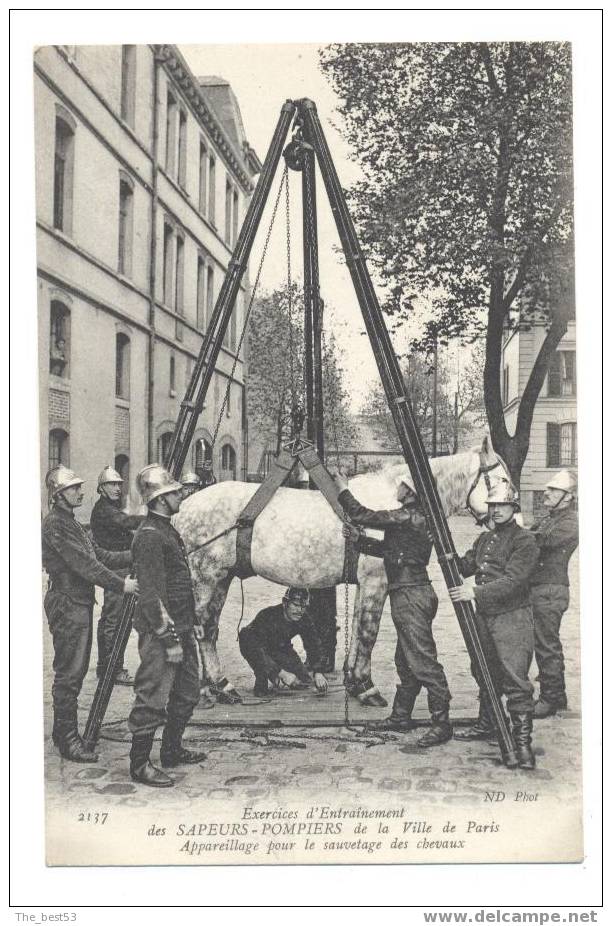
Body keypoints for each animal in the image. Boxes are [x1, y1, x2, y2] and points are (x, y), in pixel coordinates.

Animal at [172, 436, 506, 704]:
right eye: (501, 478)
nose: (505, 510)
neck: (393, 502)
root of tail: (182, 510)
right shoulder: (375, 582)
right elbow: (368, 632)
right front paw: (367, 687)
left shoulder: (365, 583)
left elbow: (358, 627)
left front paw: (354, 682)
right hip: (207, 578)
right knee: (204, 630)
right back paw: (218, 687)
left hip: (221, 579)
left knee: (208, 629)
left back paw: (213, 687)